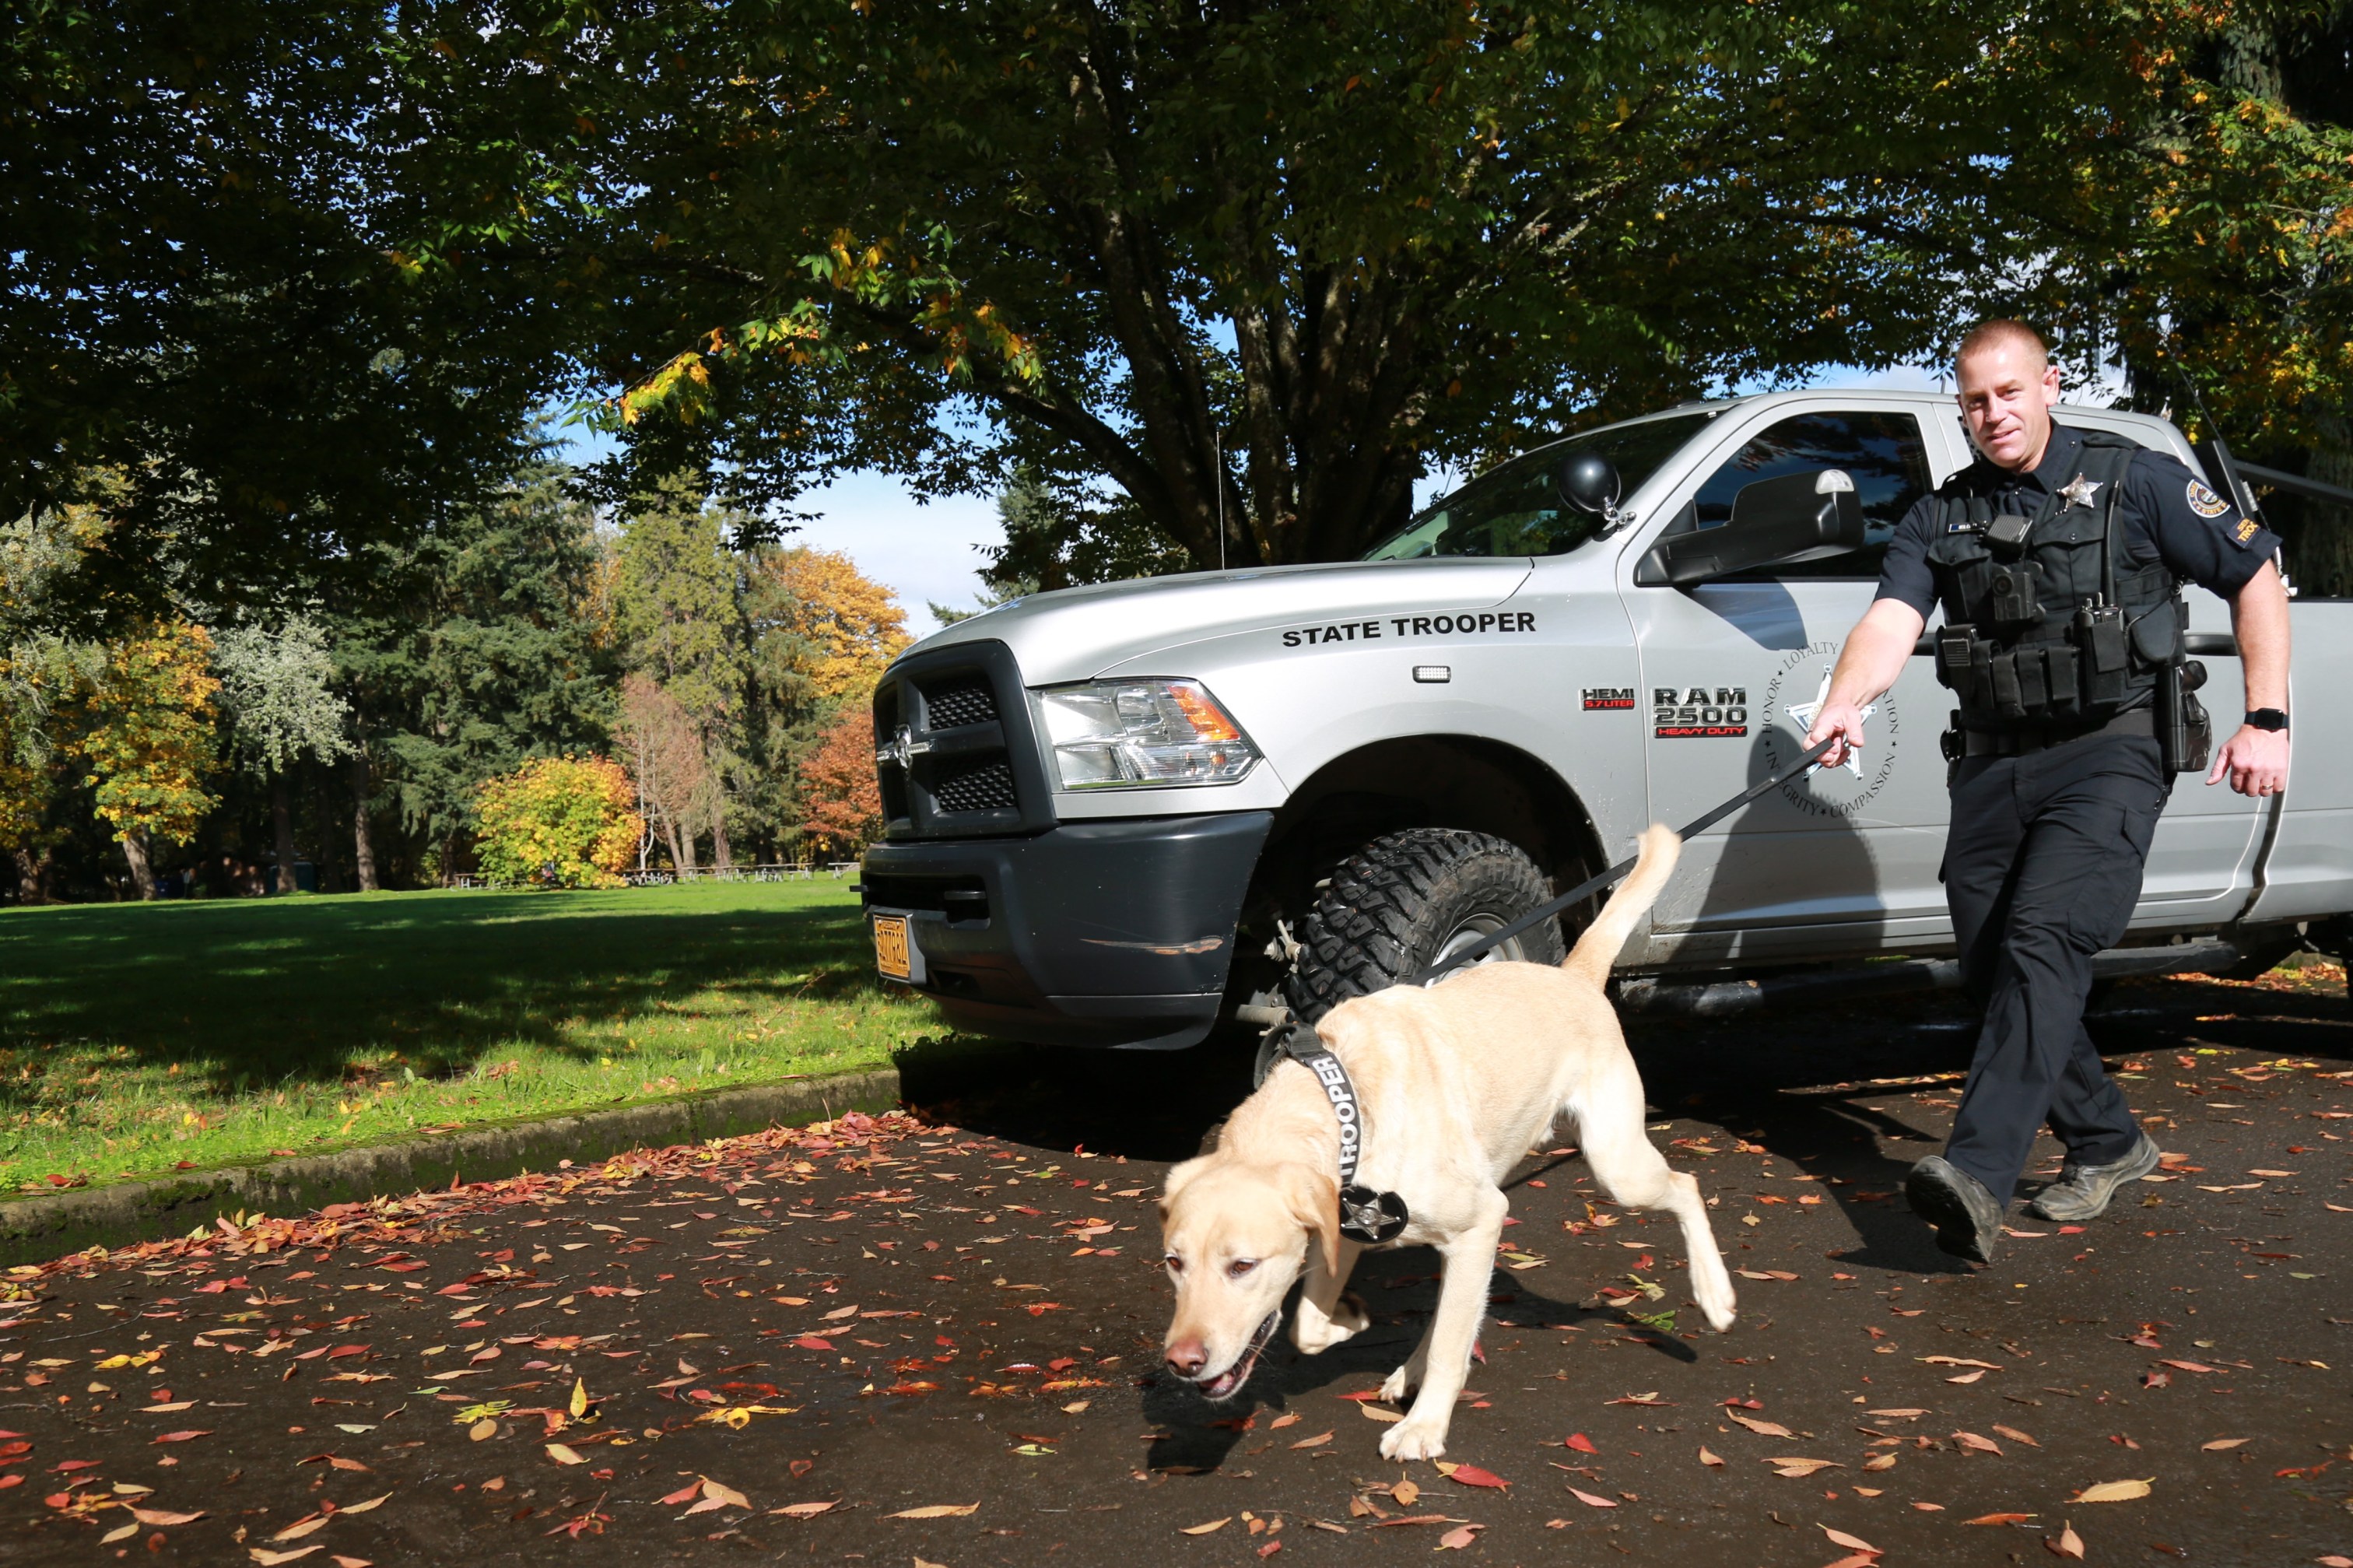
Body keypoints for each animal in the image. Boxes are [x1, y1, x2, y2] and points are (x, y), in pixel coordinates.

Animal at [1152, 823, 1731, 1459]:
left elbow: (1452, 1346)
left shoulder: (1479, 1222)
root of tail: (1574, 974)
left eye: (1243, 1266)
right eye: (1174, 1262)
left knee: (1686, 1185)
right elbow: (1309, 1326)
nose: (1181, 1361)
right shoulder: (1345, 1232)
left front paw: (1425, 1426)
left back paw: (1714, 1292)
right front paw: (1351, 1320)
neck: (1346, 1102)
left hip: (1615, 1166)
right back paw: (1409, 1368)